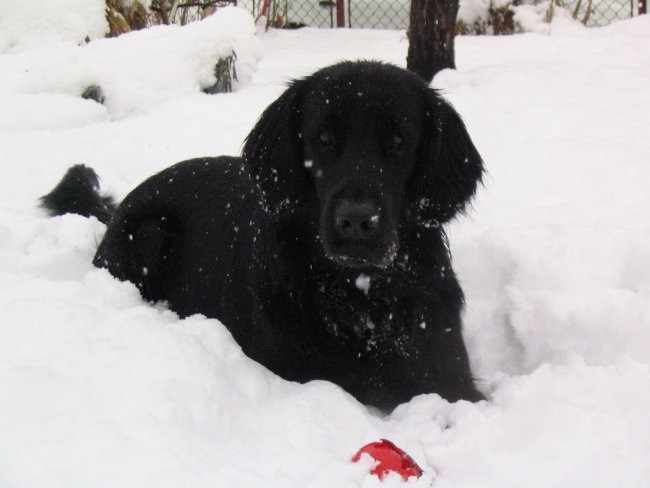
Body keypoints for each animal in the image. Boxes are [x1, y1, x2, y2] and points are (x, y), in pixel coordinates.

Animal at [41, 62, 480, 412]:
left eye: (398, 142)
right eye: (323, 139)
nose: (357, 222)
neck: (359, 295)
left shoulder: (448, 376)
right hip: (149, 232)